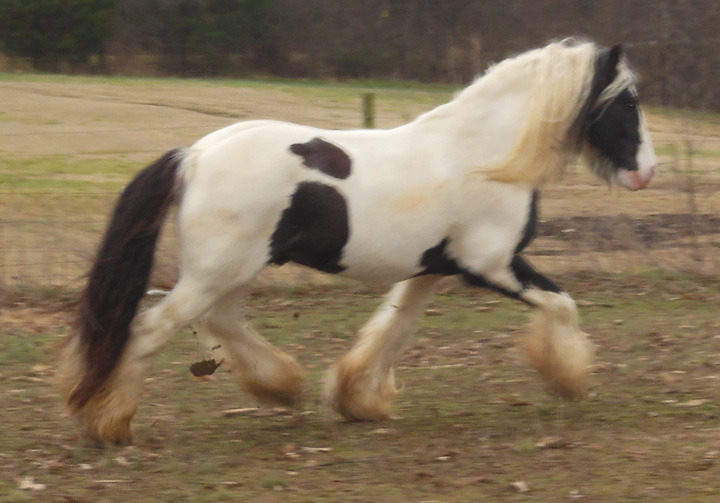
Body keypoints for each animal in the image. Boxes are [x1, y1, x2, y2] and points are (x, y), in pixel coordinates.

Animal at [60, 40, 660, 444]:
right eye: (627, 101)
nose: (647, 172)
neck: (483, 155)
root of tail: (194, 155)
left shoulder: (432, 269)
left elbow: (393, 329)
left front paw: (358, 401)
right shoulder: (492, 264)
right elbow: (562, 305)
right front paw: (570, 381)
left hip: (230, 271)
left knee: (221, 322)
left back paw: (283, 387)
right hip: (218, 271)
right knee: (150, 328)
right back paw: (110, 424)